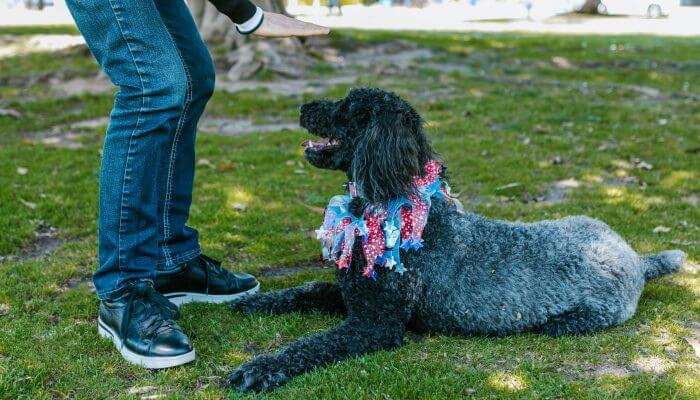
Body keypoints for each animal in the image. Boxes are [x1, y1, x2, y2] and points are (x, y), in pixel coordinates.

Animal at [227, 88, 688, 394]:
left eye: (350, 108)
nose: (303, 107)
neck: (397, 204)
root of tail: (637, 258)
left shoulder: (374, 323)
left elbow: (310, 345)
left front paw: (261, 368)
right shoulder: (351, 296)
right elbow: (305, 289)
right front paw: (256, 301)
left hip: (599, 309)